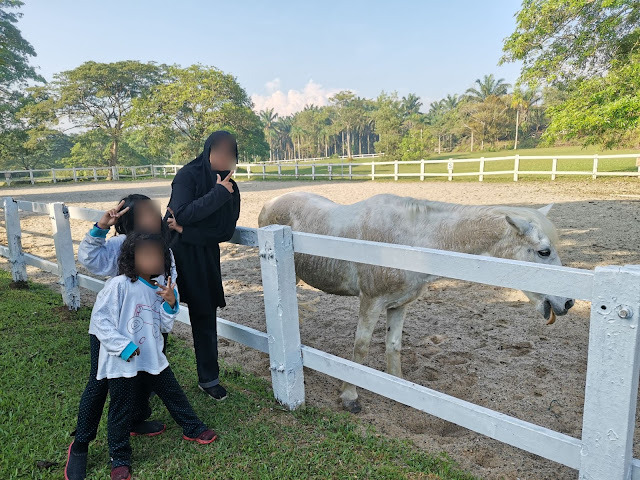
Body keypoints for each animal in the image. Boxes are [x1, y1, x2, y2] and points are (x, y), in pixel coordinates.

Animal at [258, 191, 572, 412]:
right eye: (544, 252)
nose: (567, 302)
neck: (408, 241)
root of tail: (270, 202)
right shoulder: (370, 302)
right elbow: (360, 349)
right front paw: (349, 397)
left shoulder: (398, 305)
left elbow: (394, 346)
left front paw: (397, 389)